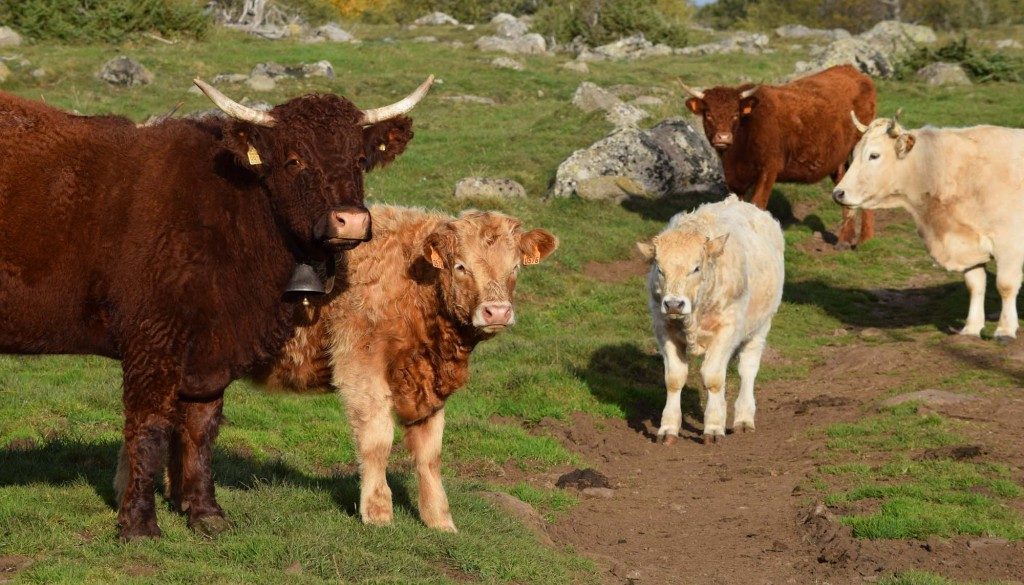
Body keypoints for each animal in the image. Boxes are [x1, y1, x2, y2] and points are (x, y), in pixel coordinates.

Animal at [0, 76, 432, 540]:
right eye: (294, 159)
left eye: (360, 159)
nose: (350, 220)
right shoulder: (153, 340)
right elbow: (149, 425)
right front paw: (138, 524)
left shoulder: (212, 350)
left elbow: (201, 426)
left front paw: (205, 512)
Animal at [638, 196, 782, 444]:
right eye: (660, 269)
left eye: (696, 268)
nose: (674, 304)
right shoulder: (663, 327)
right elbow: (674, 378)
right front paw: (668, 428)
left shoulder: (728, 328)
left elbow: (714, 378)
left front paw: (714, 427)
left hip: (761, 326)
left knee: (747, 368)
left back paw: (744, 418)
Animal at [684, 65, 876, 246]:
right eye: (708, 114)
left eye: (735, 115)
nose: (723, 137)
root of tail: (851, 70)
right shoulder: (734, 180)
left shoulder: (769, 169)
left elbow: (757, 205)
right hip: (840, 161)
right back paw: (844, 240)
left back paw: (866, 239)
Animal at [835, 112, 1024, 340]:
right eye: (854, 154)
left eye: (874, 155)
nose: (838, 193)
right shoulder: (967, 244)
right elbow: (975, 285)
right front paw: (971, 328)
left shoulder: (1009, 244)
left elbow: (1005, 285)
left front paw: (1005, 330)